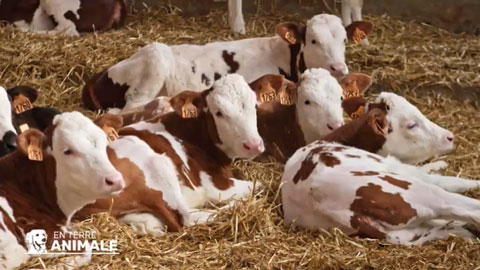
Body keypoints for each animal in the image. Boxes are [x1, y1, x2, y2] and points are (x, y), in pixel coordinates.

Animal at [0, 111, 125, 268]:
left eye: (104, 143)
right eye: (67, 151)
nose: (115, 180)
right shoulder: (37, 229)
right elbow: (85, 248)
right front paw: (61, 264)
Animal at [76, 74, 270, 236]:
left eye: (254, 106)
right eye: (219, 112)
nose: (254, 145)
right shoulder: (215, 184)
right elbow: (260, 185)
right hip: (157, 168)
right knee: (188, 218)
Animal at [282, 107, 480, 245]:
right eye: (411, 124)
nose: (450, 137)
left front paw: (439, 164)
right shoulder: (399, 168)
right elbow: (451, 181)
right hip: (415, 191)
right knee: (467, 208)